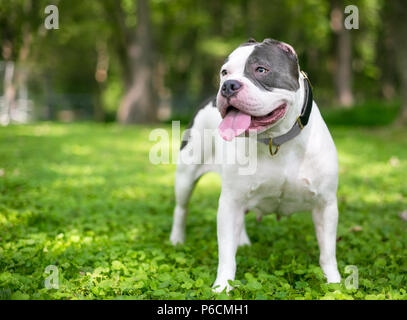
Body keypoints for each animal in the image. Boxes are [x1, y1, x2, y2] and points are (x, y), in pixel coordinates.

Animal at [169, 38, 342, 292]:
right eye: (224, 72)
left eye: (261, 70)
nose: (228, 86)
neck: (276, 139)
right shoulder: (229, 202)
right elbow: (226, 253)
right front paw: (223, 286)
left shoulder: (325, 204)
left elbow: (328, 251)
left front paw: (335, 283)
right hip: (186, 176)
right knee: (181, 208)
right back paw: (177, 240)